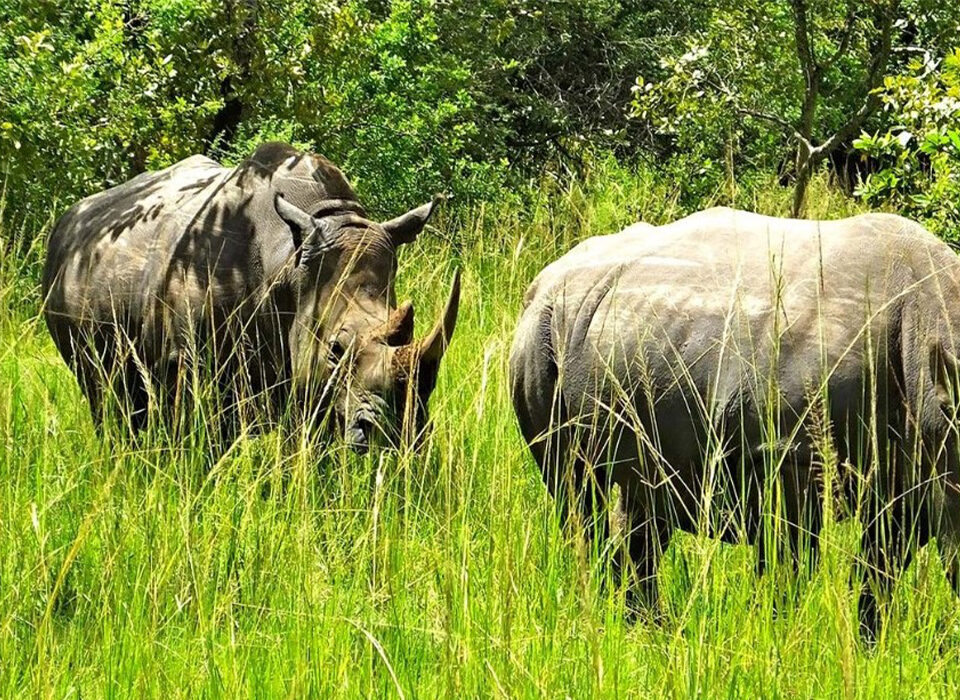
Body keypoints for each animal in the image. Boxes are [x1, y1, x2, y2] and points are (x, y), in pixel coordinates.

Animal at [43, 142, 460, 451]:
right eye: (335, 350)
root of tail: (68, 219)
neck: (288, 264)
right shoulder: (185, 363)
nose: (398, 431)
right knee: (106, 401)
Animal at [510, 207, 960, 635]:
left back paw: (651, 632)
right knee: (577, 494)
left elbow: (878, 573)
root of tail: (540, 283)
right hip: (539, 336)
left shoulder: (915, 470)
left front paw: (867, 646)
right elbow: (790, 566)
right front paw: (782, 640)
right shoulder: (791, 454)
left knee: (644, 504)